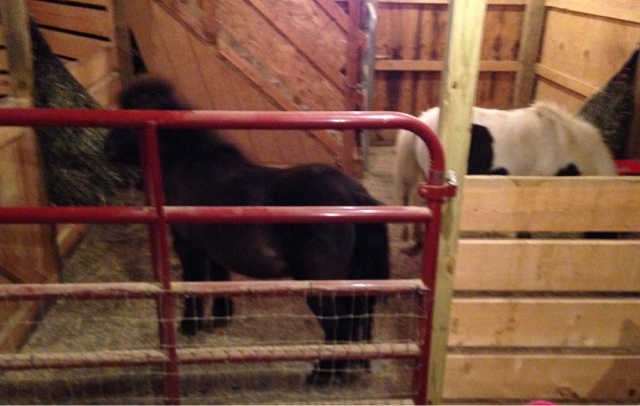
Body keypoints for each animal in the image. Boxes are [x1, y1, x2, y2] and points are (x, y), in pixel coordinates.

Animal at [104, 76, 390, 385]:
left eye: (128, 116)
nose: (106, 150)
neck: (189, 164)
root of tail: (353, 193)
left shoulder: (189, 245)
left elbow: (194, 283)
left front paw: (190, 325)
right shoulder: (213, 248)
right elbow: (218, 279)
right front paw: (221, 317)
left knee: (338, 327)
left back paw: (322, 376)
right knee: (353, 322)